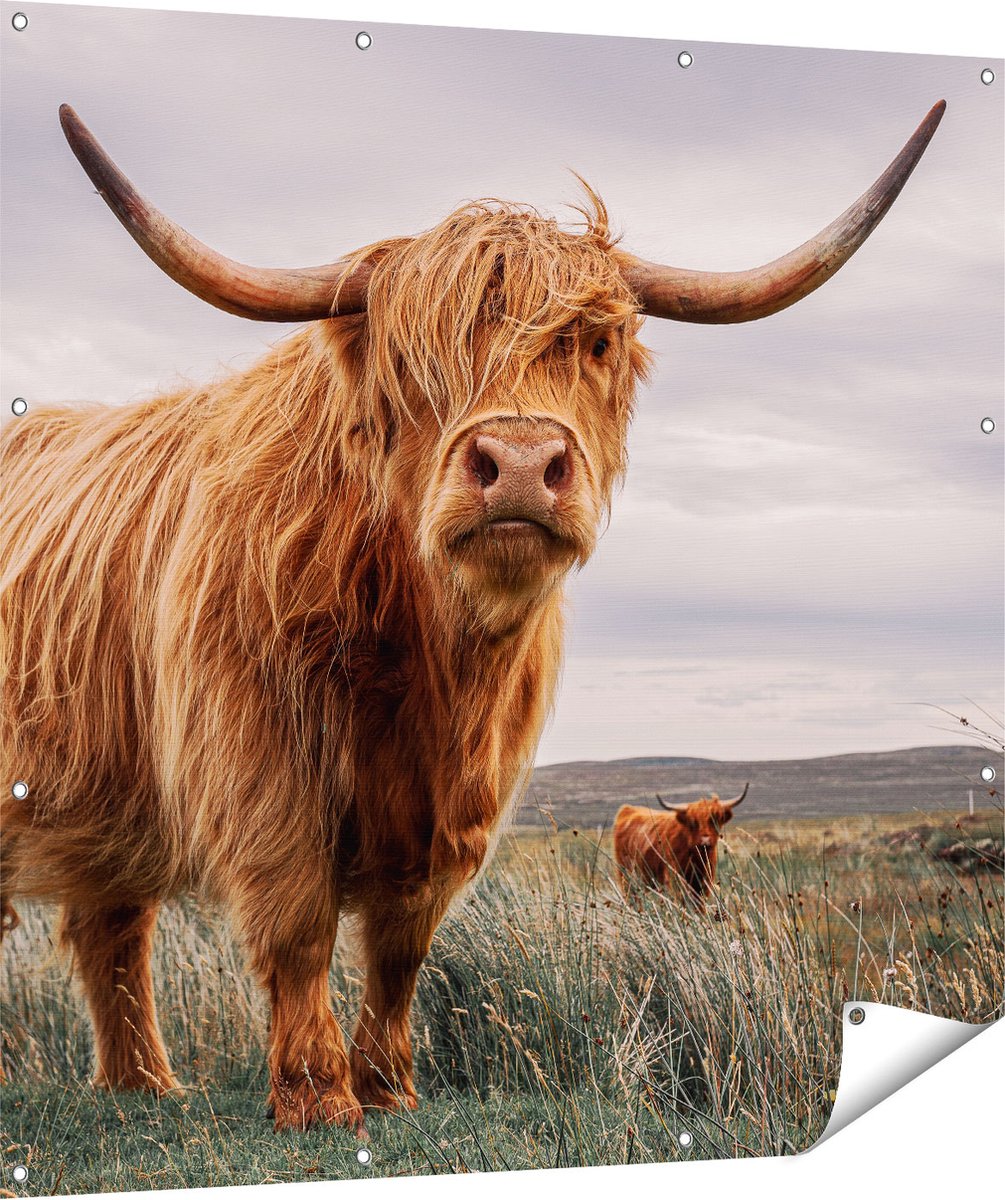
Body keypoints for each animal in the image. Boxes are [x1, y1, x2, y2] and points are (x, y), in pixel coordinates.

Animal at [613, 784, 749, 907]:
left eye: (715, 819)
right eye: (693, 823)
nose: (705, 841)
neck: (696, 859)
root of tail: (627, 809)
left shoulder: (704, 885)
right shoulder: (675, 881)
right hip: (627, 877)